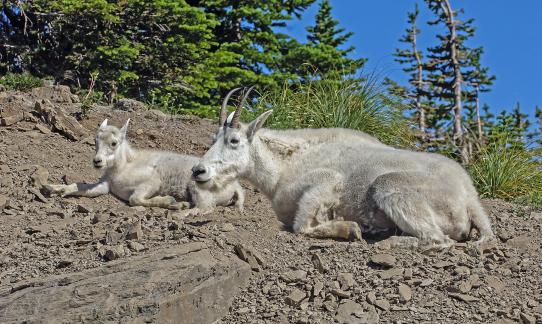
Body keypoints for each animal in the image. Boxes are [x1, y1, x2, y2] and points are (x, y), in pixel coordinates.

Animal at [193, 87, 496, 247]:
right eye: (213, 138)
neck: (283, 168)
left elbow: (302, 226)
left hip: (390, 187)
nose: (198, 171)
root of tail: (469, 199)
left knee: (438, 240)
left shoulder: (326, 182)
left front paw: (349, 228)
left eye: (233, 140)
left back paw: (387, 240)